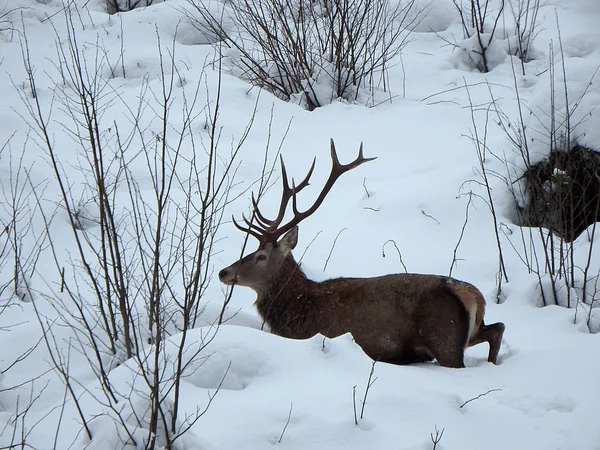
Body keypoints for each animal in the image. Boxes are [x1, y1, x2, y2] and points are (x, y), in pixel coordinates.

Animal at [218, 141, 504, 370]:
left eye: (261, 256)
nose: (224, 272)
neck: (297, 310)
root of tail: (471, 293)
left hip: (445, 338)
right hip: (469, 332)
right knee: (497, 328)